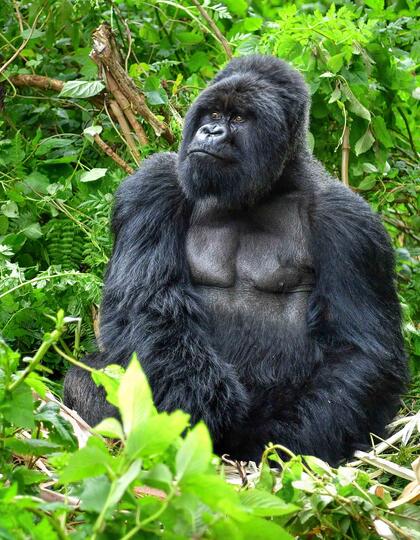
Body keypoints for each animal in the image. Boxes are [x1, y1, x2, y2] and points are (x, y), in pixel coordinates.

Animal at [65, 57, 406, 466]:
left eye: (239, 118)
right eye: (213, 113)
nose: (211, 131)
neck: (266, 189)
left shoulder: (351, 224)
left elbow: (361, 350)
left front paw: (279, 443)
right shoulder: (152, 184)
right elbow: (145, 304)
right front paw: (200, 401)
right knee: (85, 378)